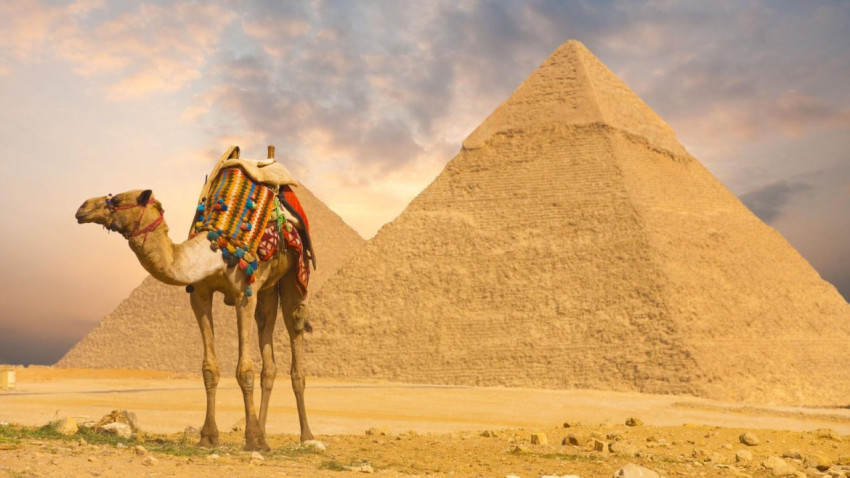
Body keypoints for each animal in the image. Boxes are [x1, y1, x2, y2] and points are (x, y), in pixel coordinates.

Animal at [74, 149, 314, 451]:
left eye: (116, 200)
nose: (82, 207)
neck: (216, 250)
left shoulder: (243, 294)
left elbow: (244, 369)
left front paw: (252, 439)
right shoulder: (200, 295)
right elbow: (209, 369)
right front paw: (209, 437)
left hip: (293, 277)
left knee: (295, 334)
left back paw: (306, 436)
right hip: (268, 290)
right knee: (268, 354)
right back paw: (265, 432)